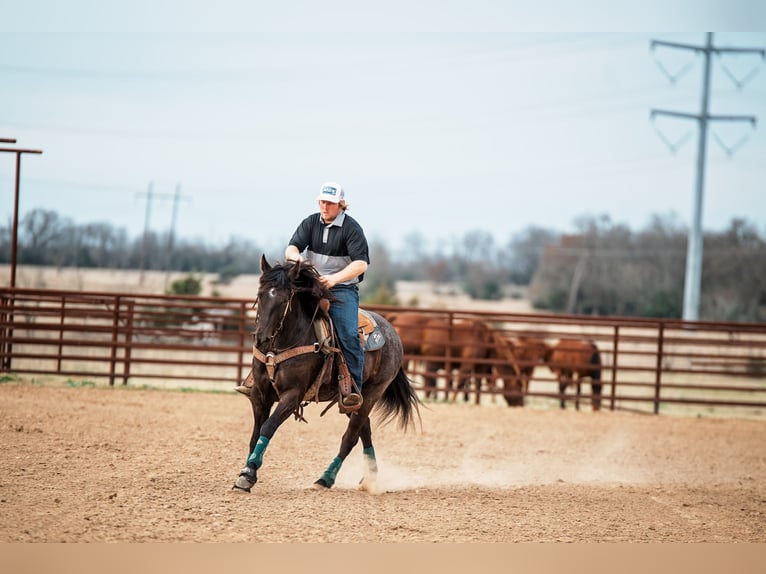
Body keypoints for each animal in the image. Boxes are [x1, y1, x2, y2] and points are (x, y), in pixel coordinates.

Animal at [232, 256, 421, 493]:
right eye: (260, 295)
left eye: (284, 300)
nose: (262, 339)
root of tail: (392, 333)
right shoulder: (260, 395)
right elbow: (255, 434)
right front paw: (247, 471)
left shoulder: (292, 395)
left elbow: (268, 427)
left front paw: (248, 473)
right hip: (353, 401)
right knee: (364, 429)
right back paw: (370, 476)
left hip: (371, 394)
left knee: (350, 436)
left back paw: (325, 478)